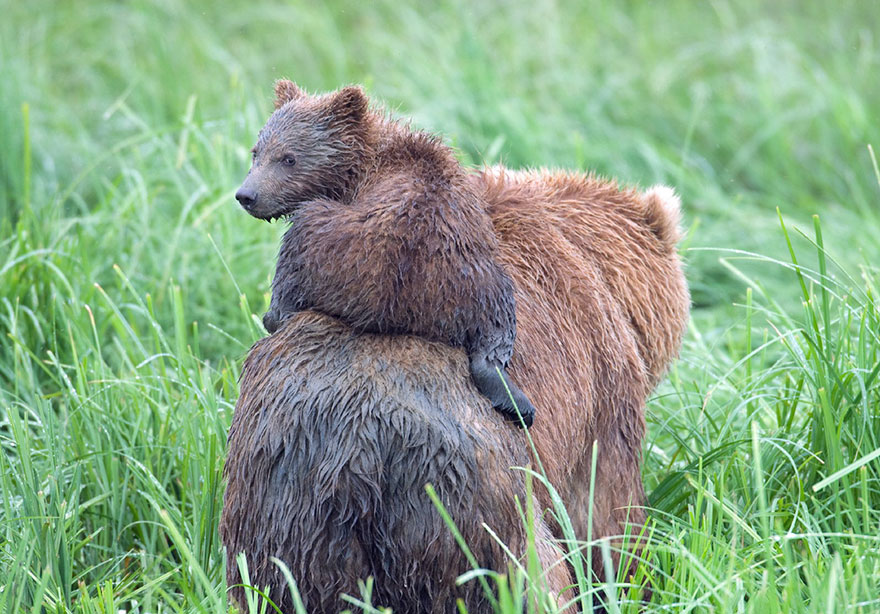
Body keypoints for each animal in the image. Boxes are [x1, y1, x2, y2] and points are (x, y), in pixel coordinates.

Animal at [234, 80, 536, 428]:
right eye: (256, 152)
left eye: (288, 158)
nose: (247, 195)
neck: (358, 168)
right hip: (477, 276)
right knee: (495, 331)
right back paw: (517, 403)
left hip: (339, 244)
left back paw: (273, 314)